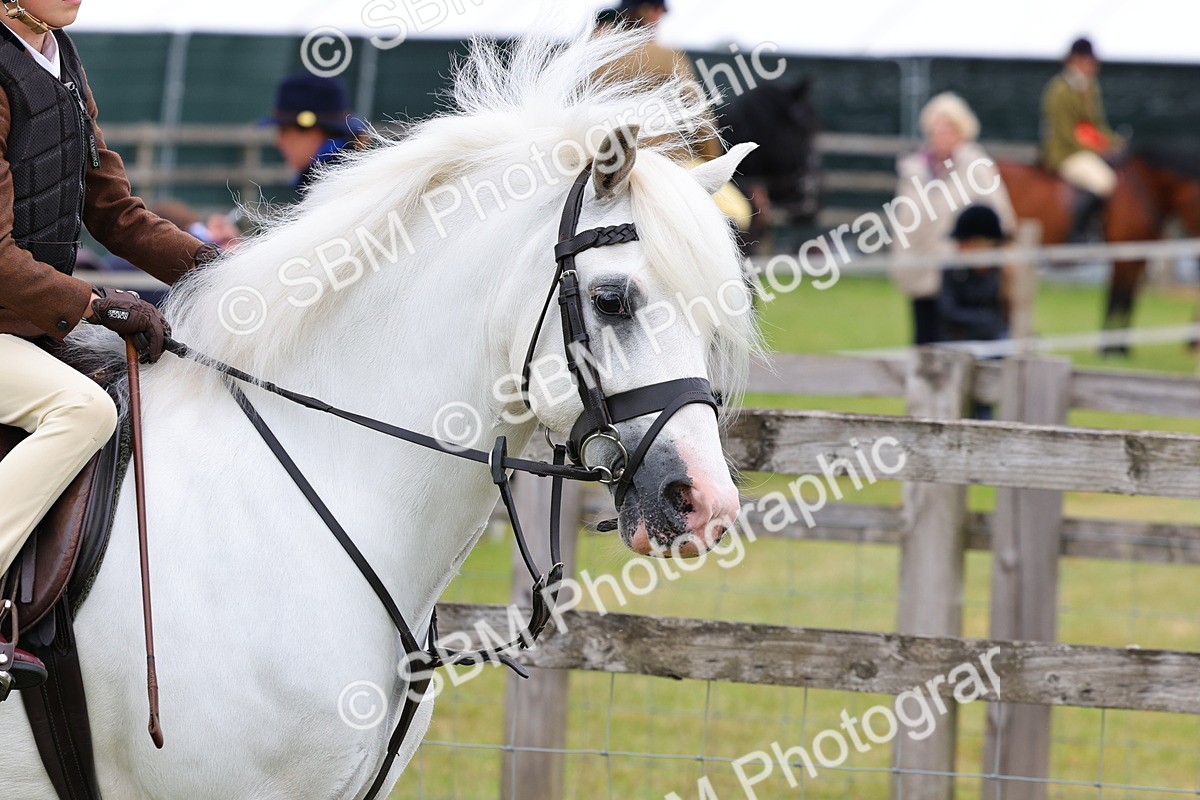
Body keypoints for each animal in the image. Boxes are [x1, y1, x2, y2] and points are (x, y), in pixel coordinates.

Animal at [998, 148, 1200, 345]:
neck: (1146, 186)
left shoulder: (1139, 255)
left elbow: (1127, 299)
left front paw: (1121, 347)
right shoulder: (1123, 253)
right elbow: (1117, 297)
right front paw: (1110, 347)